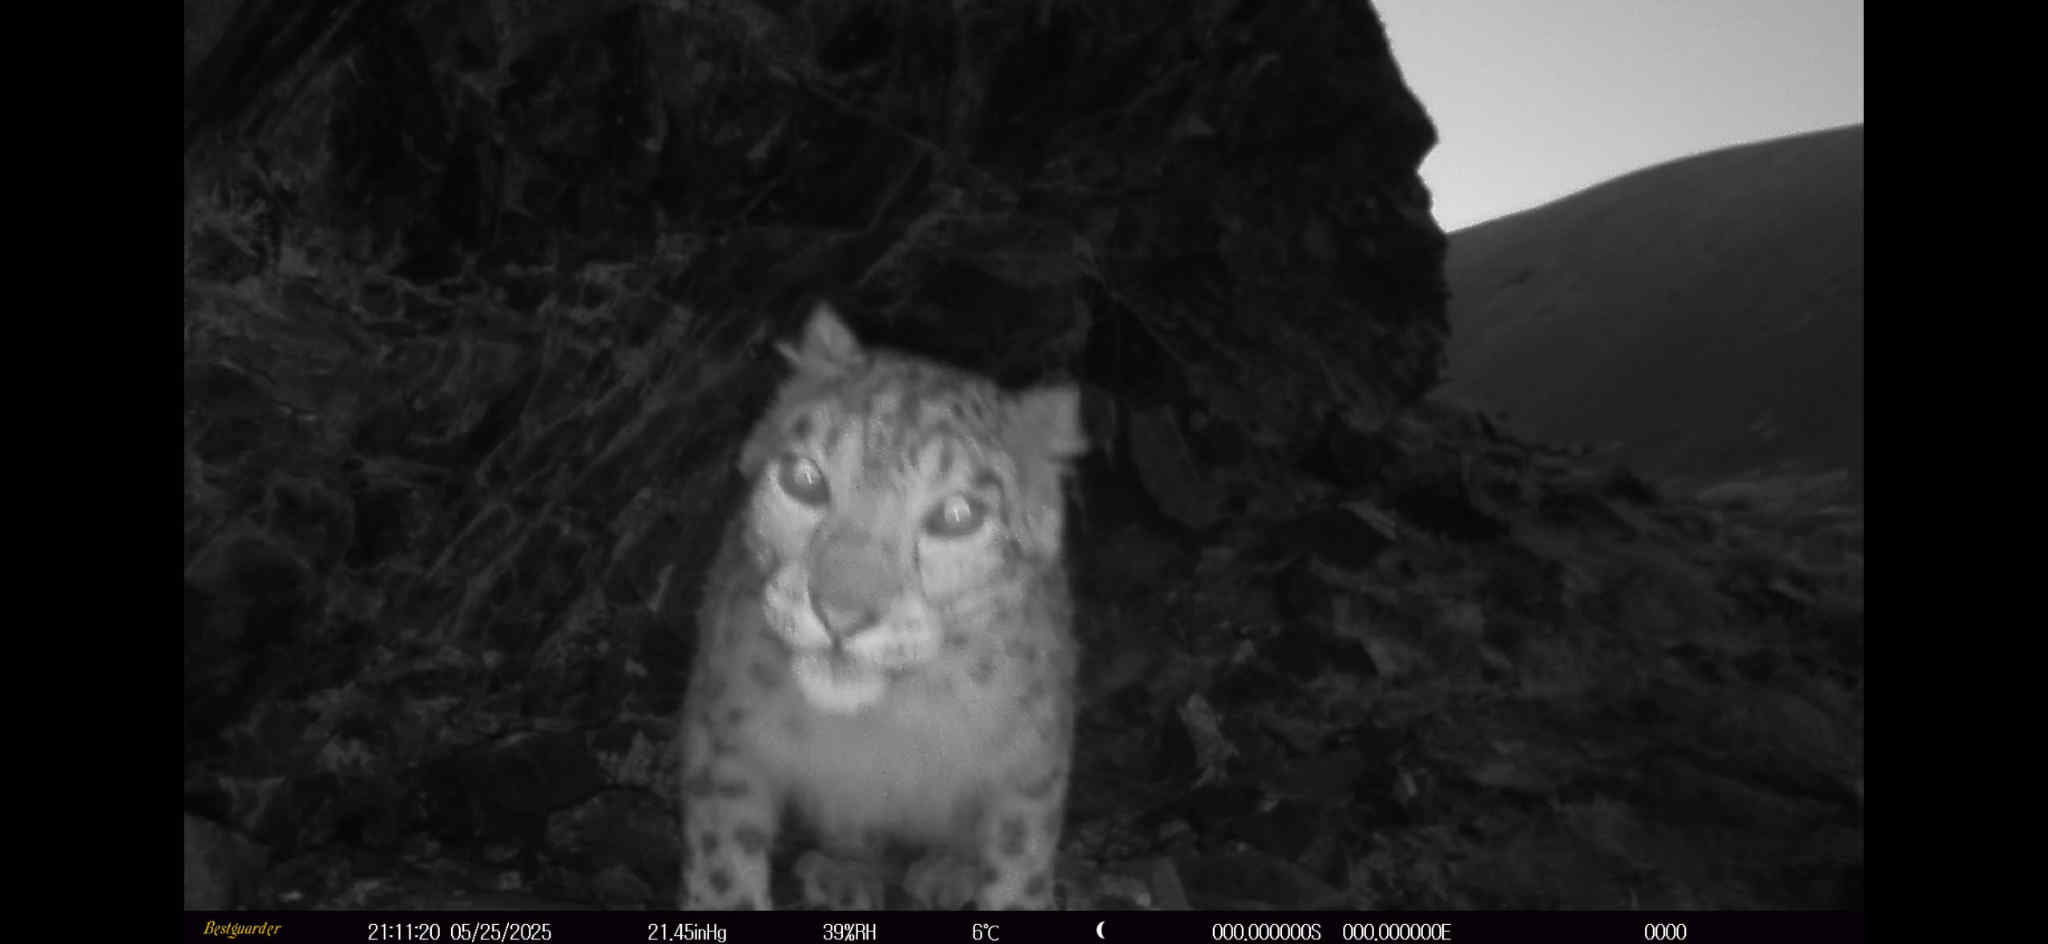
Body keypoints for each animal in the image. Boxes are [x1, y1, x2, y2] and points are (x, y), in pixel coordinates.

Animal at [676, 302, 1084, 910]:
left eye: (958, 515)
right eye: (804, 479)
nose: (841, 615)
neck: (882, 727)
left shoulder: (1031, 765)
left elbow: (1020, 865)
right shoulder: (724, 740)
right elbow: (723, 866)